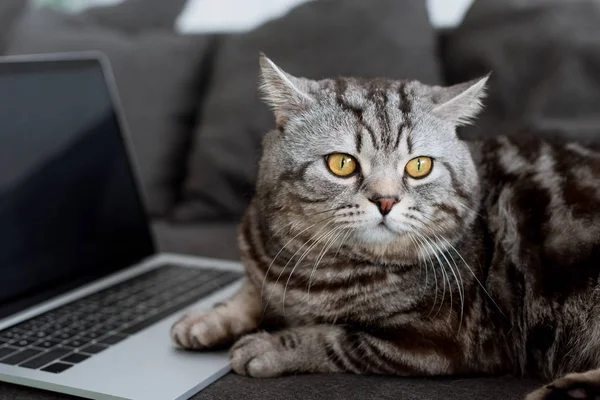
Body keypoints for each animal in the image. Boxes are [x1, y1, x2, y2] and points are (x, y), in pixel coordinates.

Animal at [169, 54, 600, 400]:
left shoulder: (440, 343)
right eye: (342, 163)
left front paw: (269, 346)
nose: (386, 200)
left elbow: (336, 338)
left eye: (419, 165)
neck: (318, 269)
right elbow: (249, 289)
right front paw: (207, 317)